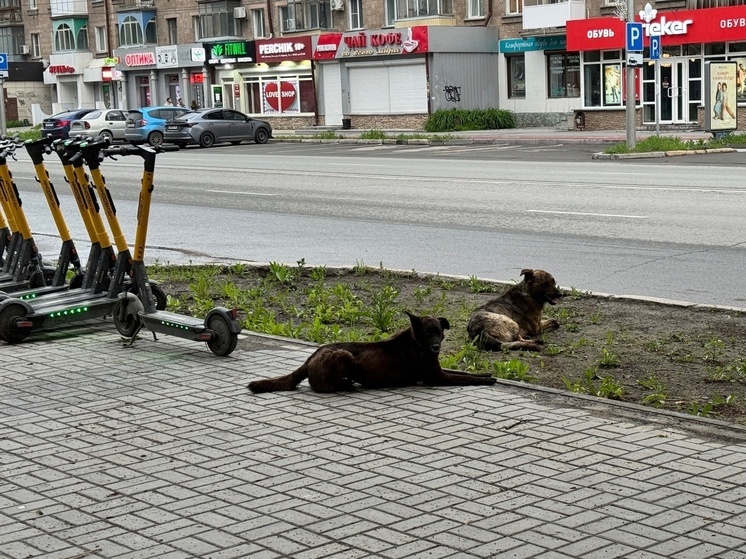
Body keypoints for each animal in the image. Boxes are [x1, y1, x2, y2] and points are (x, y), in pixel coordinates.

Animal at [247, 310, 496, 394]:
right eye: (427, 333)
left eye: (439, 332)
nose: (436, 347)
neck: (417, 344)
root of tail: (311, 357)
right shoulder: (436, 377)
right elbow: (465, 378)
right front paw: (486, 380)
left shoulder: (439, 370)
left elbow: (468, 374)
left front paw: (486, 374)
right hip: (343, 356)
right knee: (320, 386)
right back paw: (346, 384)